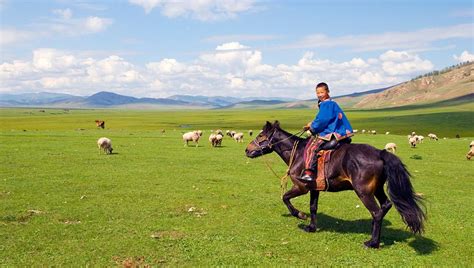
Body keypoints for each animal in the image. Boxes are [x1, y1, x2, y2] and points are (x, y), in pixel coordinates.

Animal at [244, 121, 426, 247]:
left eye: (261, 136)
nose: (247, 150)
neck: (298, 154)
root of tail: (380, 153)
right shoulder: (314, 188)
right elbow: (313, 207)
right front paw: (311, 227)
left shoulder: (301, 187)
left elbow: (285, 198)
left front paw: (300, 215)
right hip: (377, 189)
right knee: (385, 205)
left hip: (364, 192)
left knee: (376, 212)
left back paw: (372, 242)